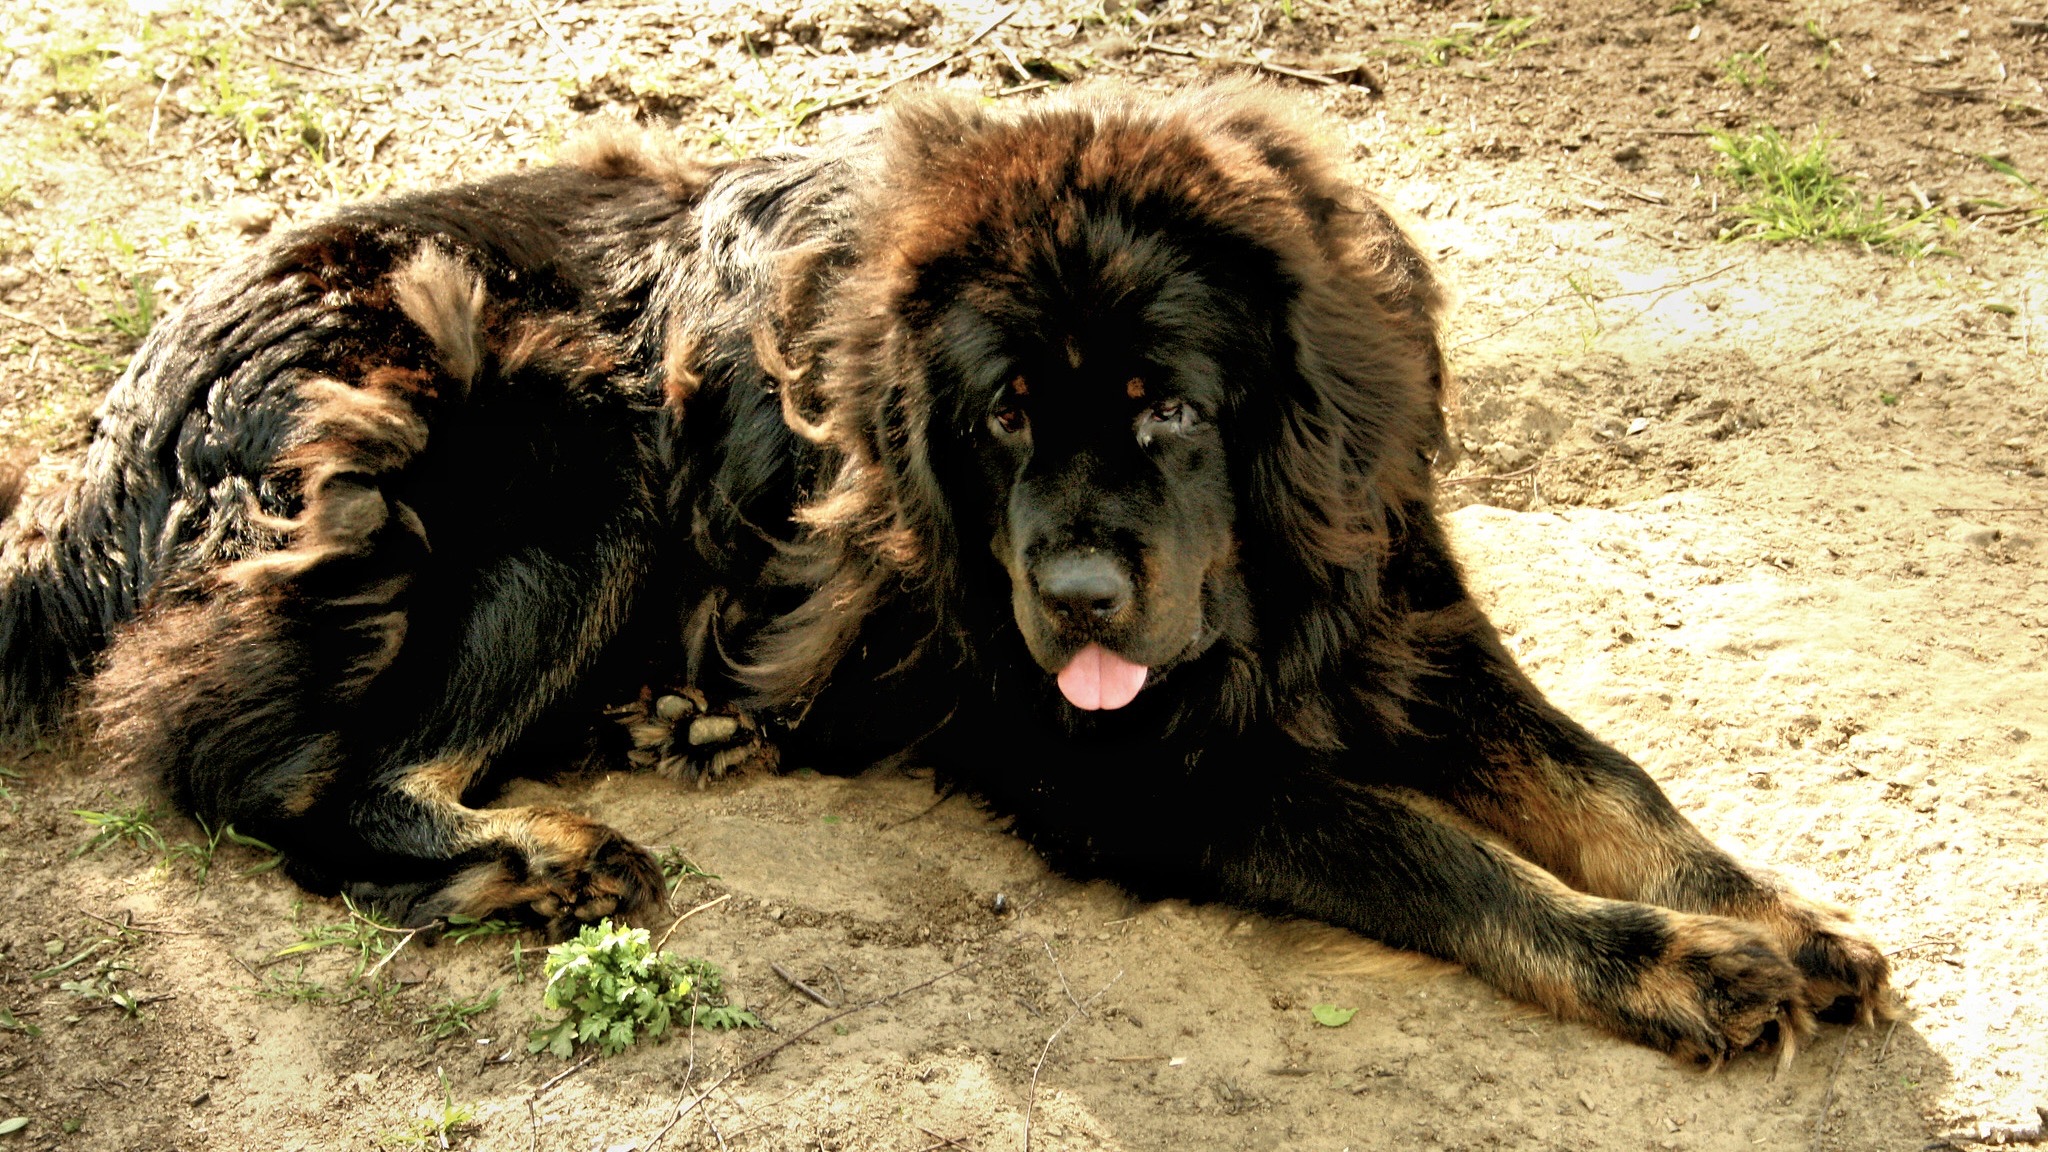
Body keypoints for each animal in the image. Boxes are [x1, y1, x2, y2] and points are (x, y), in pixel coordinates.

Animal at [0, 87, 1884, 1057]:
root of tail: (103, 446)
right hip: (584, 469)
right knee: (293, 784)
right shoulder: (1132, 768)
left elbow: (1610, 782)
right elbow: (1435, 853)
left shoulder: (1399, 618)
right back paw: (538, 856)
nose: (1079, 597)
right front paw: (1681, 963)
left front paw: (1774, 914)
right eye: (999, 414)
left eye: (1171, 406)